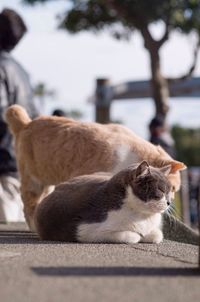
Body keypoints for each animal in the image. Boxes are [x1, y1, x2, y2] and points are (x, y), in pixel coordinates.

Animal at [5, 105, 186, 230]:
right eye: (173, 188)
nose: (170, 201)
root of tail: (27, 123)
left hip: (46, 182)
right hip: (33, 181)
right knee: (28, 205)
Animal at [34, 162, 172, 244]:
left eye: (170, 191)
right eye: (161, 190)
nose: (169, 202)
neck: (140, 215)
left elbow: (157, 235)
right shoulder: (85, 230)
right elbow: (131, 237)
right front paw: (138, 236)